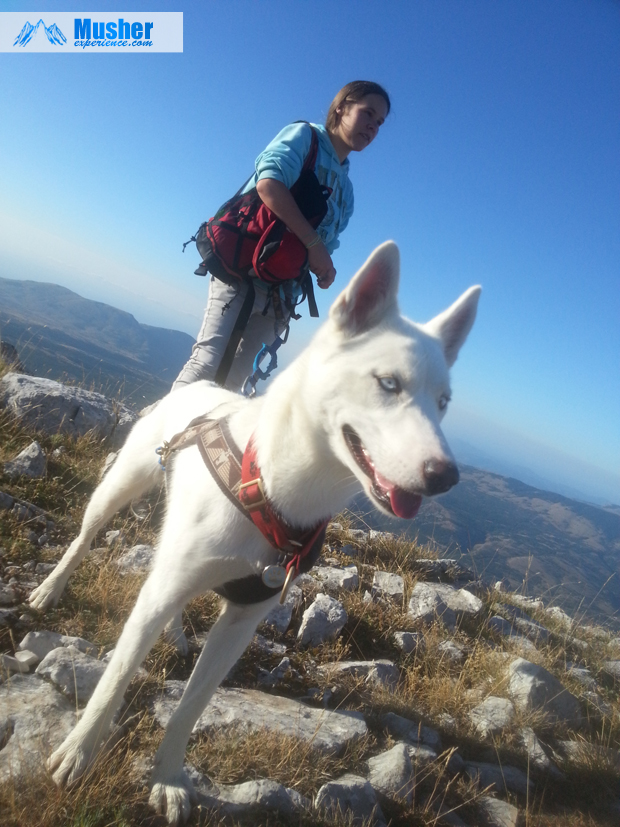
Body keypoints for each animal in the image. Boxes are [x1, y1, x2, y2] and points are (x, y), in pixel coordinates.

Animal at [31, 243, 480, 824]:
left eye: (443, 402)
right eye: (388, 383)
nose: (446, 476)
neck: (271, 487)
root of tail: (206, 386)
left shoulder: (242, 622)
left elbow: (192, 705)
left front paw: (167, 777)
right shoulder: (165, 595)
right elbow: (116, 677)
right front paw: (80, 751)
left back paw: (175, 634)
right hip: (118, 488)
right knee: (85, 541)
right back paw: (51, 589)